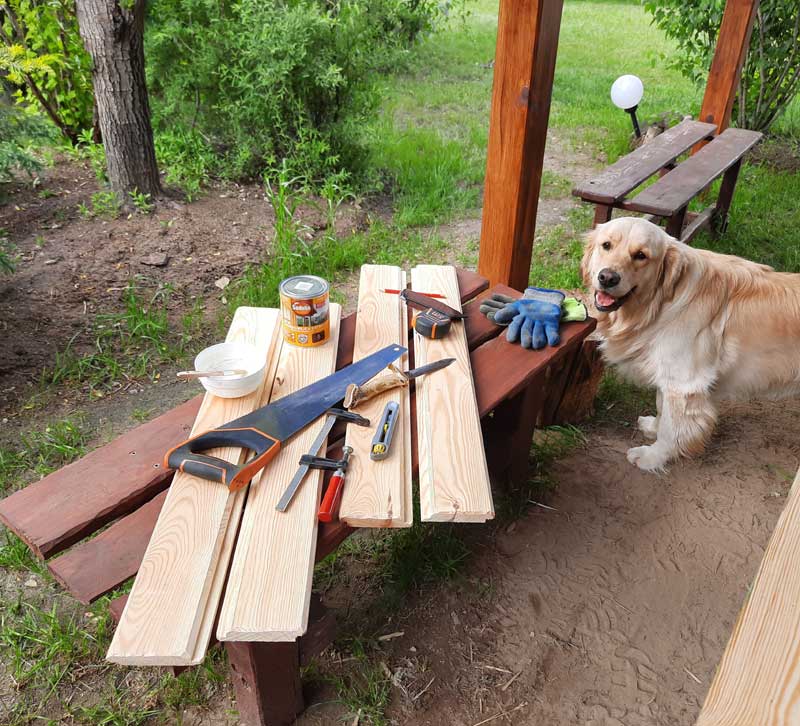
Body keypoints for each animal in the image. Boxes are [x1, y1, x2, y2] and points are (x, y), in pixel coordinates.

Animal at [580, 216, 800, 474]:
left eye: (641, 255)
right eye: (606, 245)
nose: (607, 277)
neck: (660, 303)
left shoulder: (684, 383)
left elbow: (671, 428)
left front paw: (653, 456)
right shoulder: (669, 376)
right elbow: (662, 406)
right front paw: (653, 426)